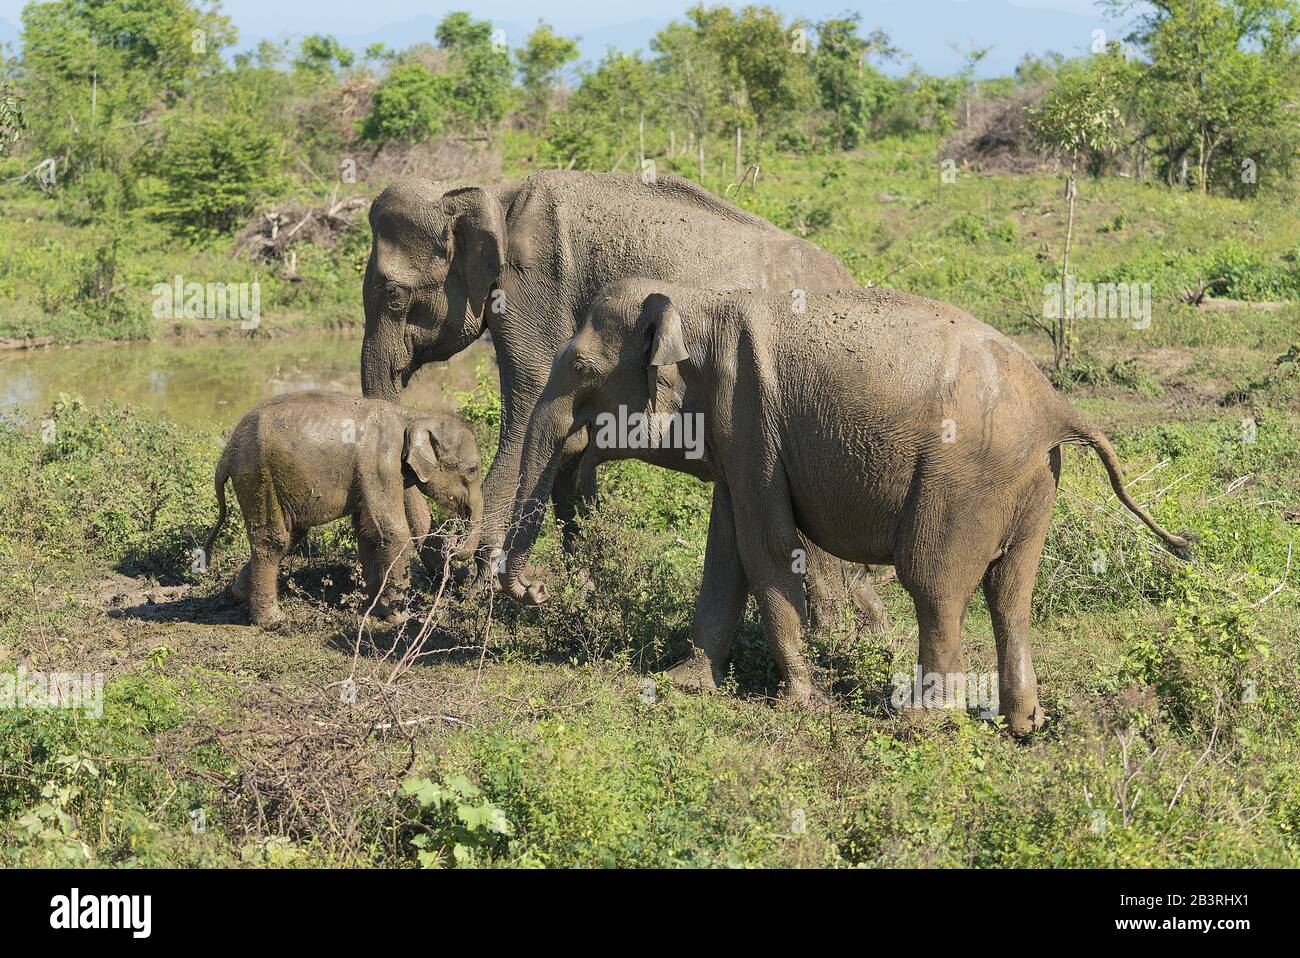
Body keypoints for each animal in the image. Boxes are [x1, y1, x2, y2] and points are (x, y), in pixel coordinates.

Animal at [205, 389, 480, 629]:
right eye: (473, 470)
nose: (453, 543)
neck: (413, 415)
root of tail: (226, 452)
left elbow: (369, 531)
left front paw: (370, 609)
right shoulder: (379, 464)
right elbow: (393, 531)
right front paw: (399, 618)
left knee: (291, 534)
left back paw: (240, 592)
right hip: (258, 476)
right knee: (273, 539)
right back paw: (272, 621)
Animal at [356, 167, 883, 623]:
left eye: (394, 296)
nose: (446, 555)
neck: (494, 196)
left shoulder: (532, 290)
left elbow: (528, 415)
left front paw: (478, 592)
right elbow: (566, 447)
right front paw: (582, 589)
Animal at [501, 276, 1190, 733]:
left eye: (582, 370)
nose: (534, 592)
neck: (696, 301)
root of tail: (1059, 409)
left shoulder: (748, 412)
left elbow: (767, 547)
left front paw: (801, 705)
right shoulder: (737, 435)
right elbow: (726, 548)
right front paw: (686, 687)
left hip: (965, 478)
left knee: (934, 584)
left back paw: (921, 723)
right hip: (1032, 485)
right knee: (1011, 592)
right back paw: (1024, 725)